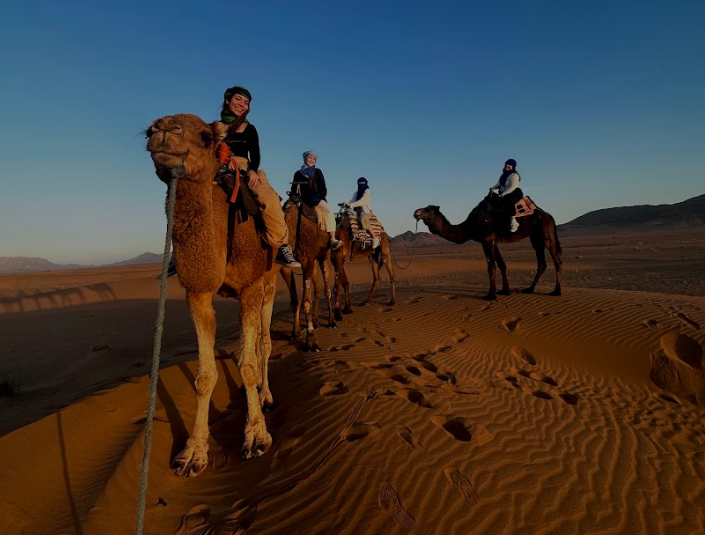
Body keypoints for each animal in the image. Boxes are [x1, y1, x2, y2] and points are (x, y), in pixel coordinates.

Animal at [147, 112, 280, 474]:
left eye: (206, 137)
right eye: (149, 129)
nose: (162, 129)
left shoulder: (251, 286)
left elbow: (247, 365)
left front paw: (256, 436)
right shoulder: (198, 292)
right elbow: (204, 375)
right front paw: (192, 453)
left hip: (270, 279)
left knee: (264, 340)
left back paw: (266, 396)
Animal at [280, 200, 336, 352]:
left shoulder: (307, 261)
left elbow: (306, 302)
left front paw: (311, 341)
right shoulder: (285, 267)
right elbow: (295, 301)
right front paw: (295, 333)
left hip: (324, 256)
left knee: (327, 290)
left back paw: (332, 321)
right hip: (314, 262)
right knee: (317, 290)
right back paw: (316, 322)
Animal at [412, 194, 560, 302]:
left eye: (429, 209)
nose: (416, 212)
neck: (470, 225)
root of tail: (550, 216)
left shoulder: (486, 240)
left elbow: (491, 267)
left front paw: (491, 295)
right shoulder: (493, 242)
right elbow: (502, 264)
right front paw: (505, 290)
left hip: (547, 234)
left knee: (556, 261)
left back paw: (556, 291)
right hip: (535, 238)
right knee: (541, 263)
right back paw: (529, 289)